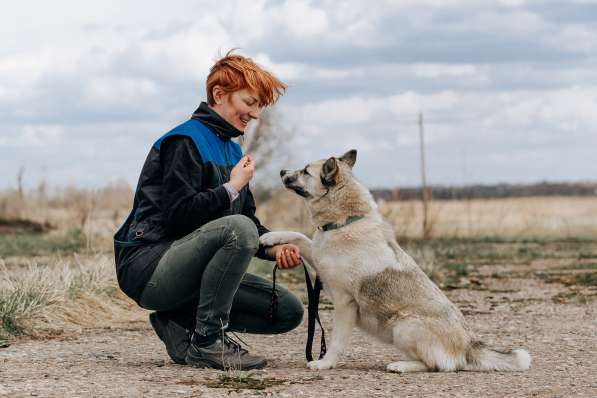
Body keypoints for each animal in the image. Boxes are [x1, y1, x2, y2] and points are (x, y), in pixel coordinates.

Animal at [258, 149, 528, 374]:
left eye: (305, 171)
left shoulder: (345, 304)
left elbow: (336, 341)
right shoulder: (318, 257)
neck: (345, 221)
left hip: (404, 325)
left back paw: (401, 365)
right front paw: (270, 238)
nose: (281, 172)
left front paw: (325, 363)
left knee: (439, 366)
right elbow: (300, 236)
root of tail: (469, 344)